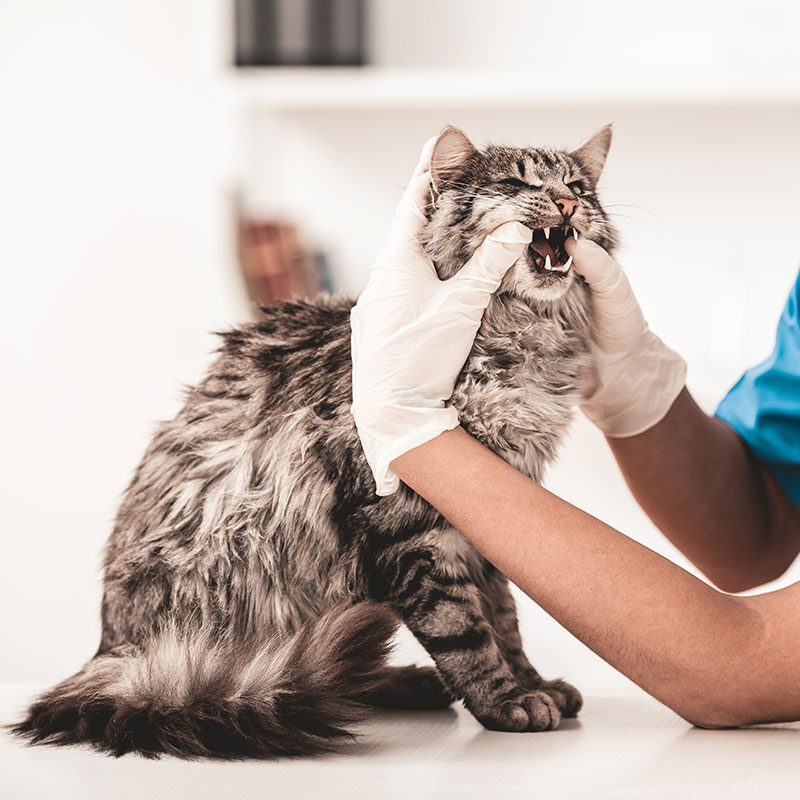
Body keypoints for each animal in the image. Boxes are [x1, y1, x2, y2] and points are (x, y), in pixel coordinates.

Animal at [14, 123, 620, 756]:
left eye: (578, 187)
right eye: (519, 183)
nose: (567, 204)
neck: (522, 340)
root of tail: (112, 663)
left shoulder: (489, 518)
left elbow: (505, 619)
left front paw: (534, 683)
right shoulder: (410, 527)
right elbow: (465, 631)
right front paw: (505, 700)